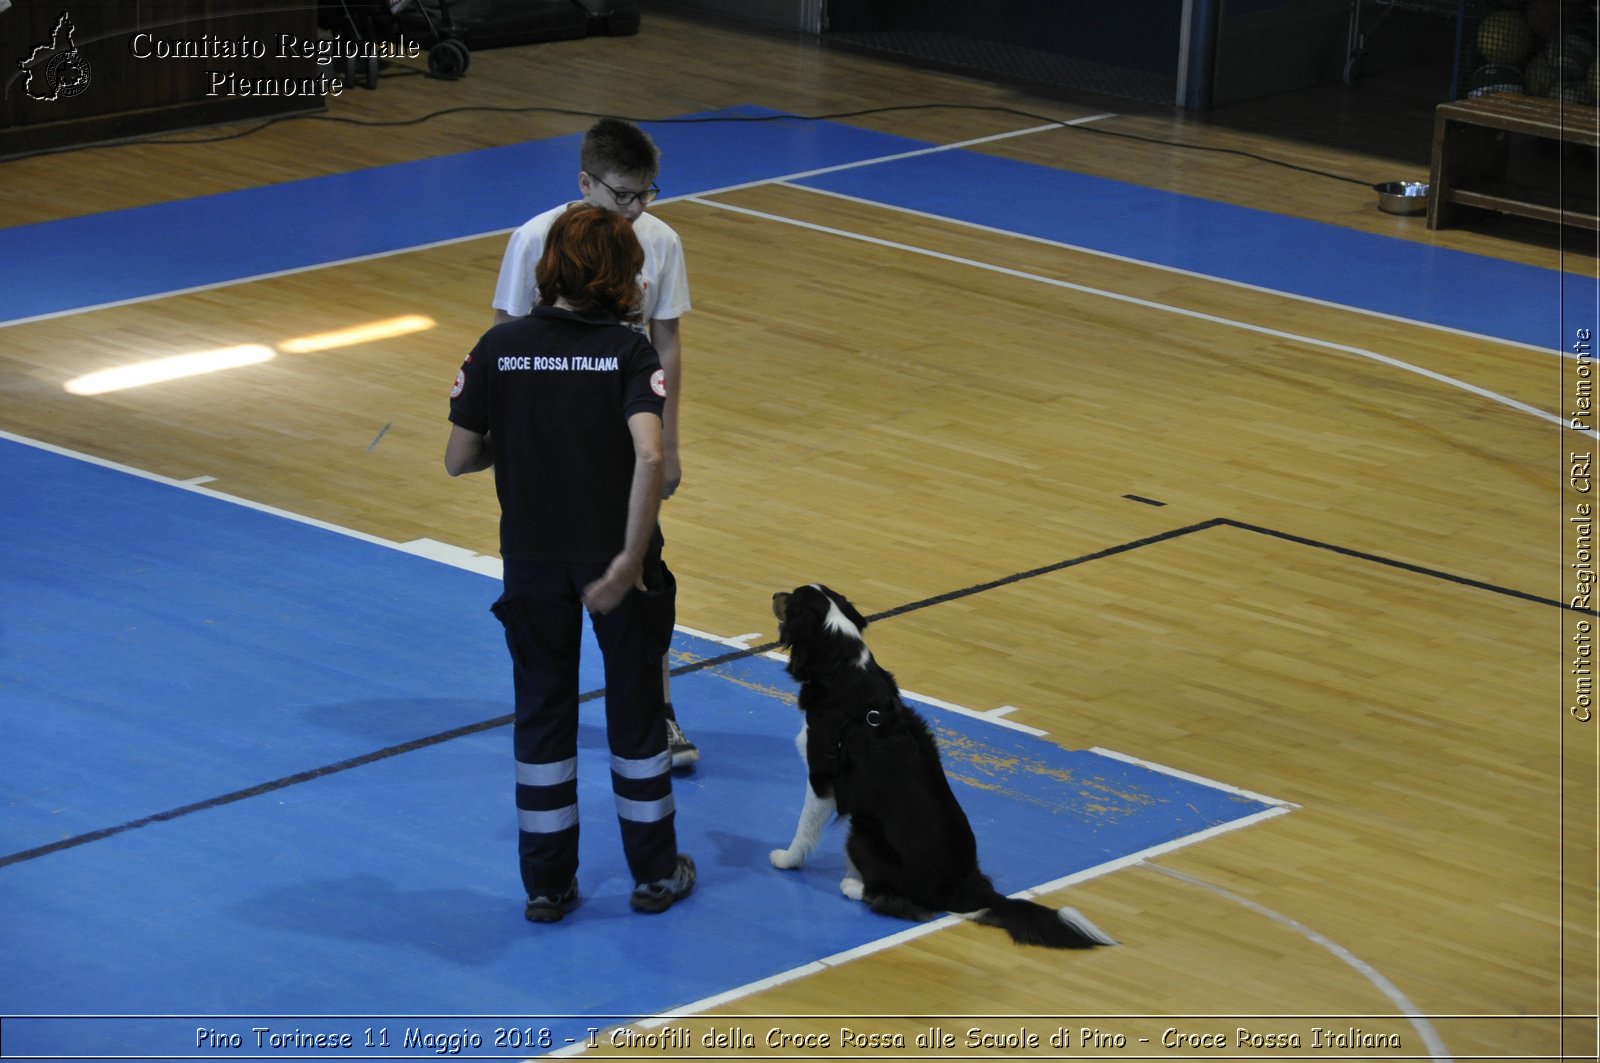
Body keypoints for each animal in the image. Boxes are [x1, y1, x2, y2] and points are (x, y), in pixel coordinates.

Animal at [771, 585, 1120, 947]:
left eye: (792, 597)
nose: (774, 594)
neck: (843, 666)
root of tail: (968, 885)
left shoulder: (821, 776)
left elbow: (804, 828)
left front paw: (786, 860)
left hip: (863, 830)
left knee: (892, 899)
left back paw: (853, 885)